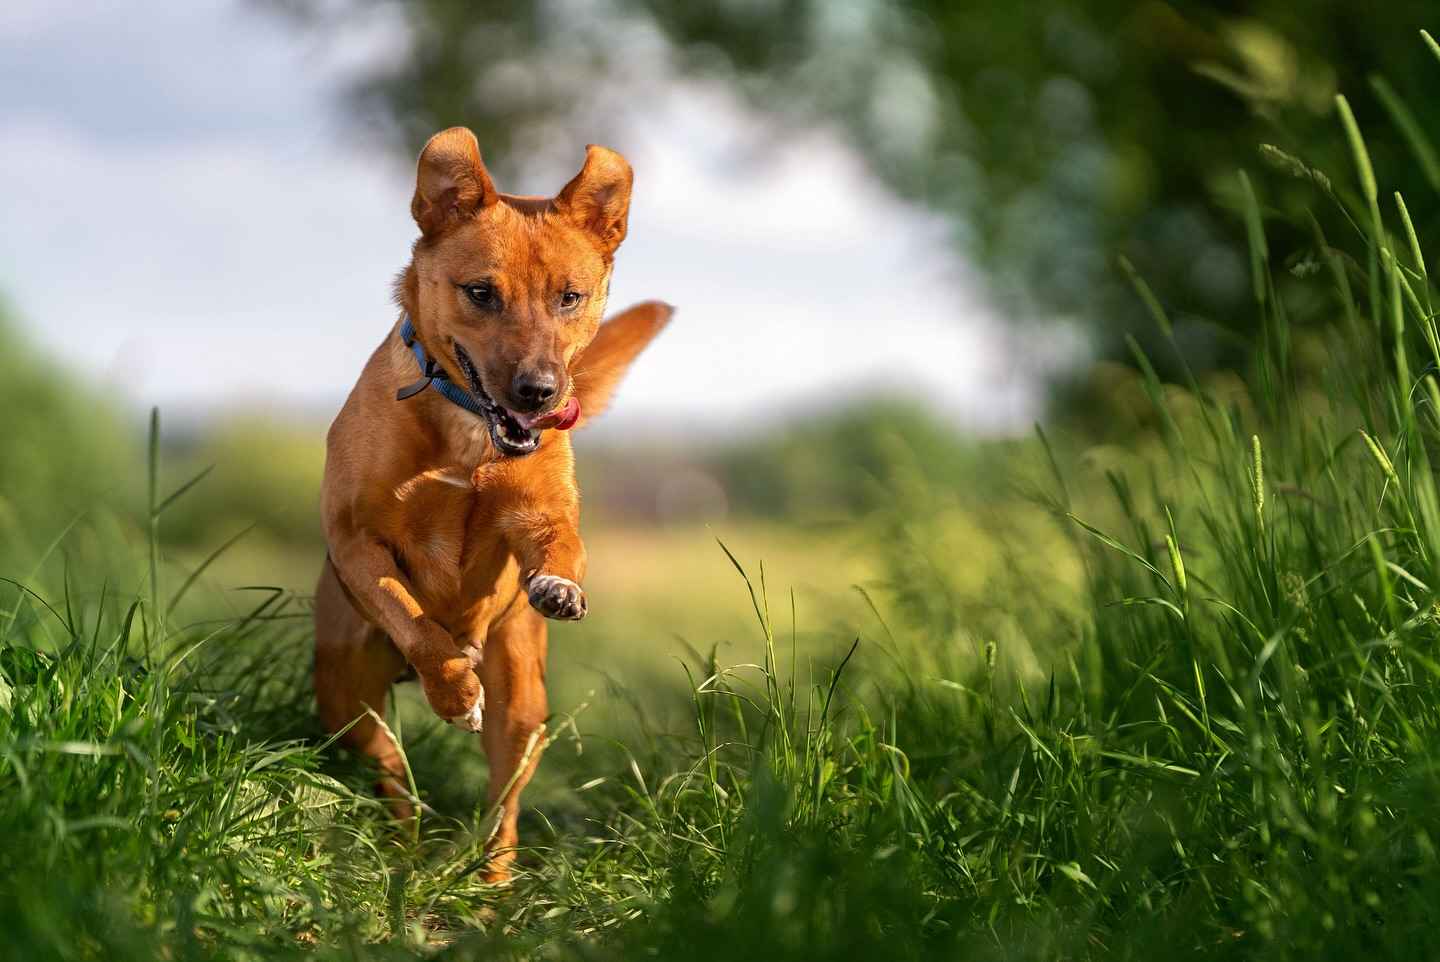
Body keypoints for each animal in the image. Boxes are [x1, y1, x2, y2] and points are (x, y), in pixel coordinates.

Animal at [313, 129, 668, 887]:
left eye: (570, 297)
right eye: (481, 292)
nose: (538, 391)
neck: (470, 434)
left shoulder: (541, 516)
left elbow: (560, 545)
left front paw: (559, 587)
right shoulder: (358, 542)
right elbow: (415, 619)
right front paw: (451, 688)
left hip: (524, 709)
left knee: (502, 808)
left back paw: (492, 886)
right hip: (346, 702)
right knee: (392, 774)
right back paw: (406, 848)